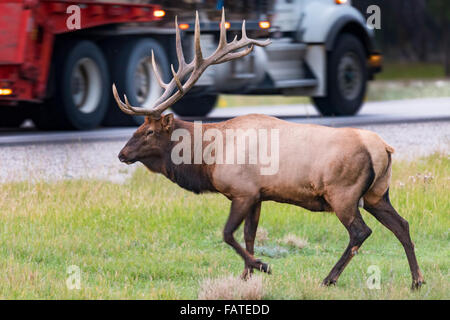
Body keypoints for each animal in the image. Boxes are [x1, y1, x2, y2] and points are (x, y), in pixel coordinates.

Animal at [112, 10, 426, 290]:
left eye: (149, 131)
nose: (122, 154)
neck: (209, 157)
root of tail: (383, 148)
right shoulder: (259, 194)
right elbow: (249, 235)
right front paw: (246, 275)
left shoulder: (243, 190)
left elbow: (227, 234)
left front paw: (262, 266)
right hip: (377, 193)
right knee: (402, 225)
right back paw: (416, 280)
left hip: (343, 193)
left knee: (361, 232)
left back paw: (329, 278)